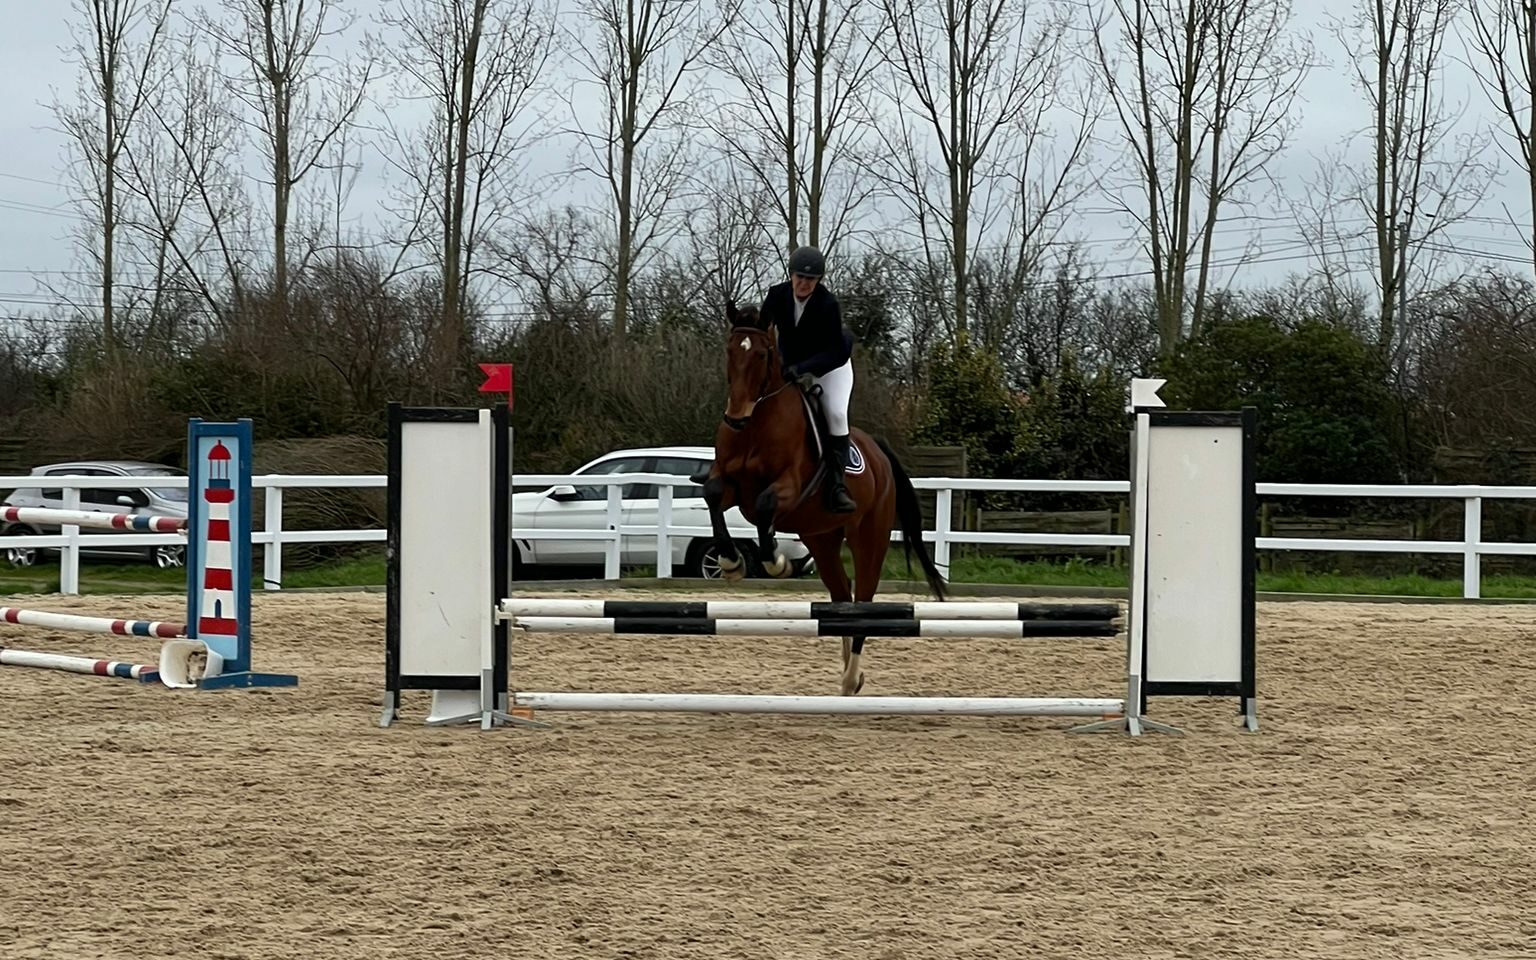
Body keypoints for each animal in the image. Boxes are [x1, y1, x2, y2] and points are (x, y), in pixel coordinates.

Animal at [697, 299, 946, 697]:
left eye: (762, 354)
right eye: (730, 351)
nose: (735, 418)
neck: (755, 425)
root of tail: (879, 454)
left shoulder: (789, 488)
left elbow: (766, 507)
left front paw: (775, 562)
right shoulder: (732, 486)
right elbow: (713, 493)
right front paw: (731, 562)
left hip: (868, 539)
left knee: (863, 601)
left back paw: (850, 679)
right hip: (823, 539)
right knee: (842, 597)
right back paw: (850, 678)